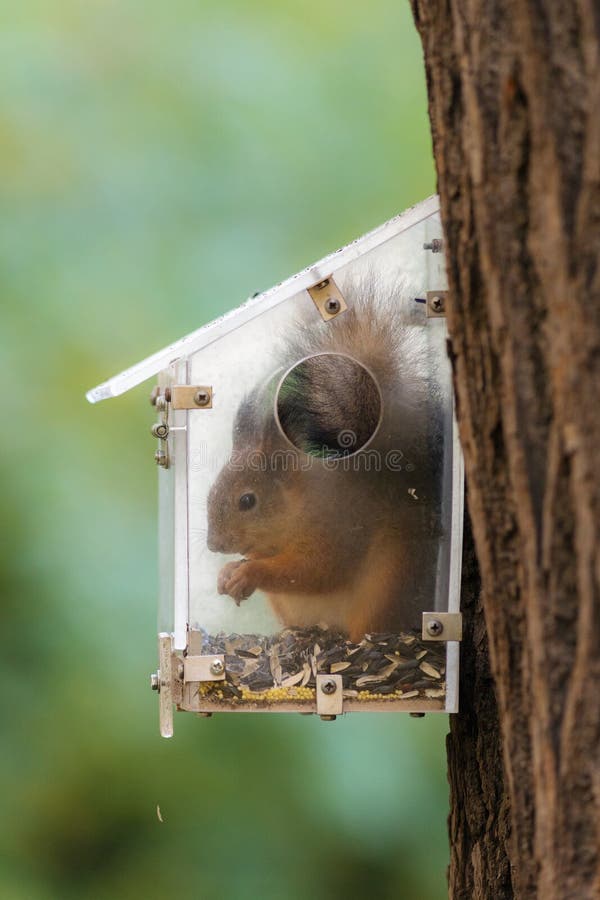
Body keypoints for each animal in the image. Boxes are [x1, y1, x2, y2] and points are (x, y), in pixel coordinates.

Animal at [206, 276, 443, 642]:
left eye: (247, 501)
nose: (214, 544)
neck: (299, 505)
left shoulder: (338, 525)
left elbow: (315, 570)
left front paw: (250, 573)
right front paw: (228, 573)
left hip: (388, 584)